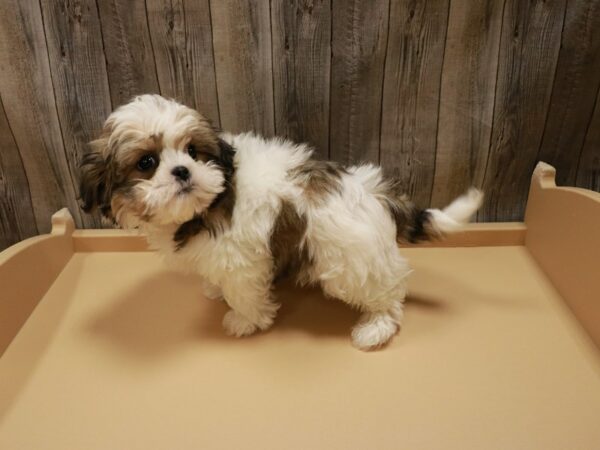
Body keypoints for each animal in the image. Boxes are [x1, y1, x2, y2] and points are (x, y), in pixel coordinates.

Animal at [81, 93, 482, 350]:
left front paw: (244, 320)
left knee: (389, 291)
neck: (206, 205)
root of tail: (372, 189)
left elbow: (244, 292)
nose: (182, 170)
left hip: (350, 260)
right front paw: (214, 288)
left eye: (193, 151)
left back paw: (376, 327)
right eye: (146, 163)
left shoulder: (241, 259)